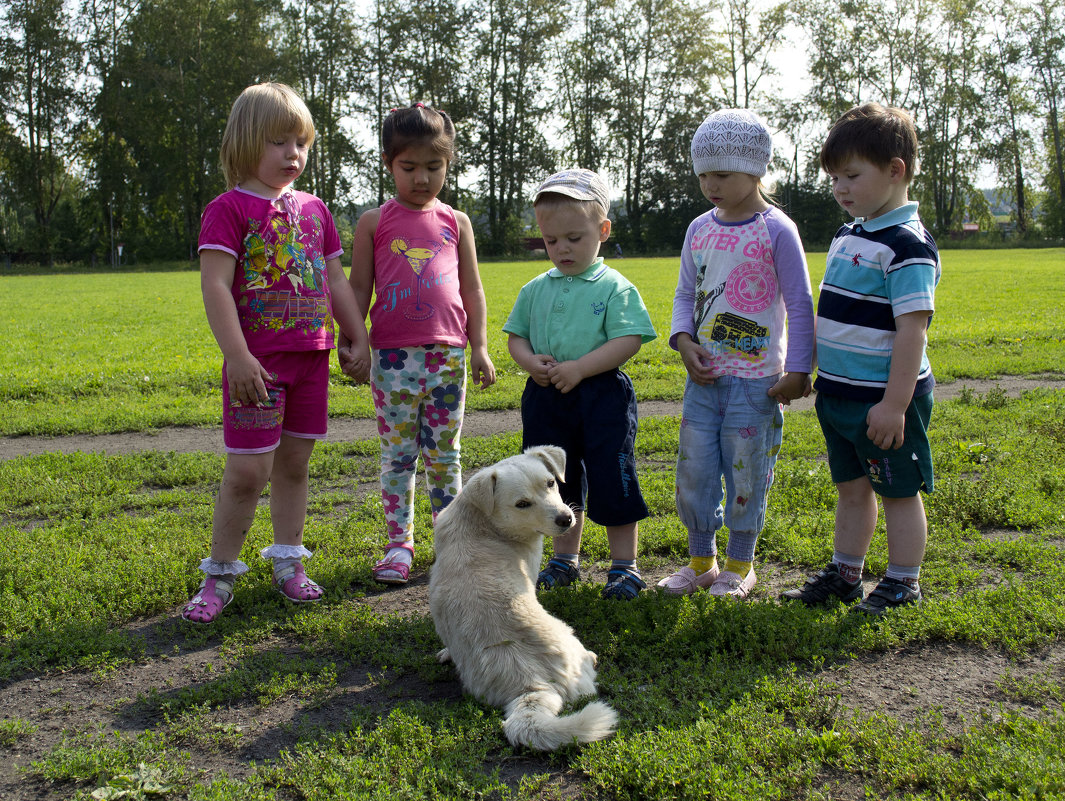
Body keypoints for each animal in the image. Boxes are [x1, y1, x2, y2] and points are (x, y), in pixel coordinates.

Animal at [428, 445, 621, 749]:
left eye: (551, 483)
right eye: (522, 504)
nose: (566, 519)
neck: (482, 522)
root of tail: (531, 684)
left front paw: (446, 653)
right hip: (569, 636)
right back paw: (591, 657)